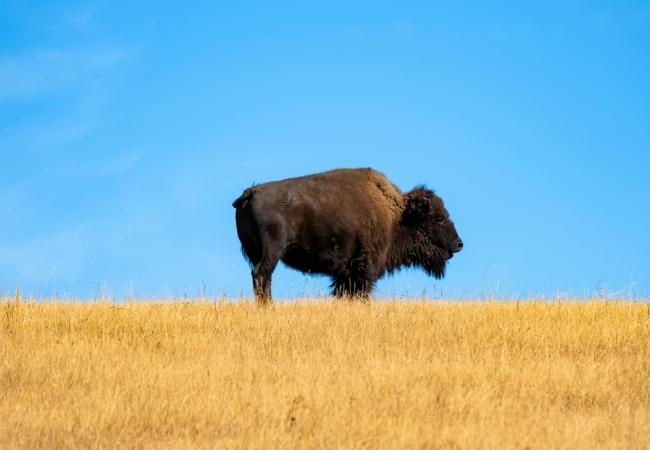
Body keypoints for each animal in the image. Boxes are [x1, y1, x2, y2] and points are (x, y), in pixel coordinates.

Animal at [233, 168, 462, 303]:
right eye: (438, 218)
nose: (459, 244)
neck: (395, 215)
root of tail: (250, 193)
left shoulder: (344, 273)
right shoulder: (363, 268)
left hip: (254, 252)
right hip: (272, 252)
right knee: (262, 274)